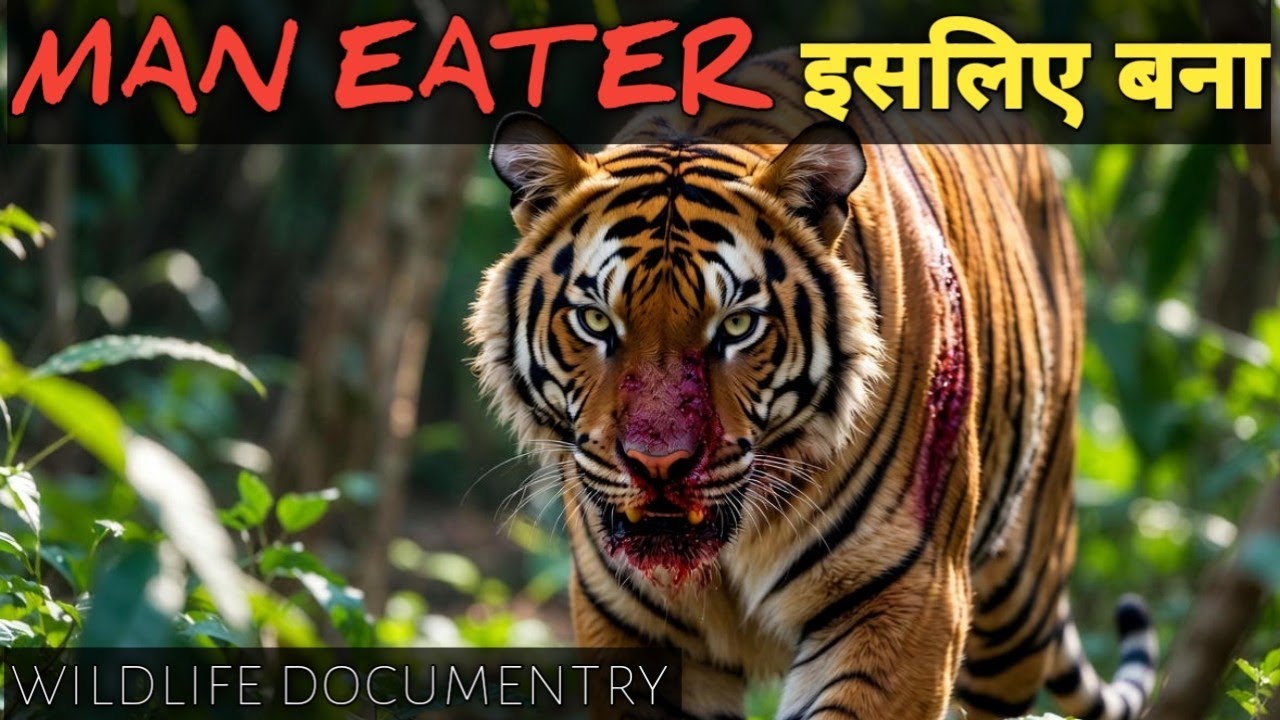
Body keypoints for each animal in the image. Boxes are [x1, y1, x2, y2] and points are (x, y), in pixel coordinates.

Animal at [466, 50, 1159, 720]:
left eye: (737, 325)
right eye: (595, 321)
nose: (658, 465)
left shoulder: (906, 596)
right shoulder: (628, 623)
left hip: (1022, 595)